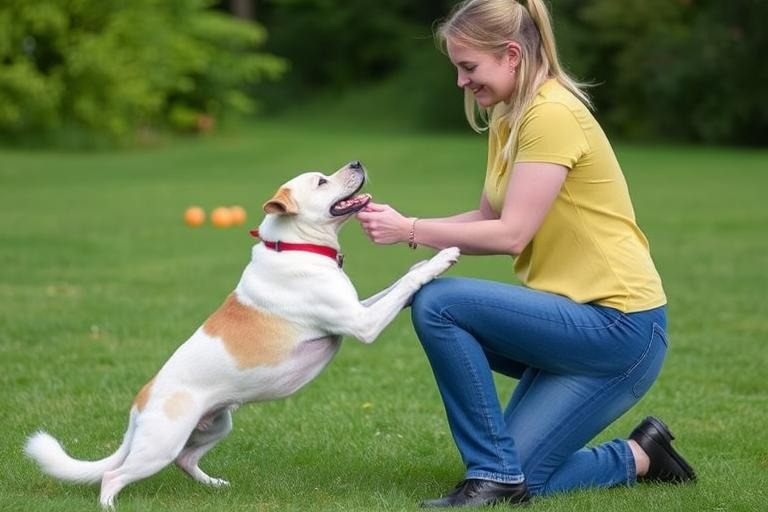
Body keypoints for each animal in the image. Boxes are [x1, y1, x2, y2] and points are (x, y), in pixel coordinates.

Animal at [24, 161, 460, 508]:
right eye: (321, 181)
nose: (356, 162)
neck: (294, 245)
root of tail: (138, 406)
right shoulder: (361, 324)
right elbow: (407, 285)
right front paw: (443, 256)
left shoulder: (359, 308)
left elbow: (396, 286)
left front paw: (423, 260)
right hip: (160, 445)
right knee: (113, 477)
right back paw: (111, 505)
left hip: (217, 425)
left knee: (185, 461)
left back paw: (215, 485)